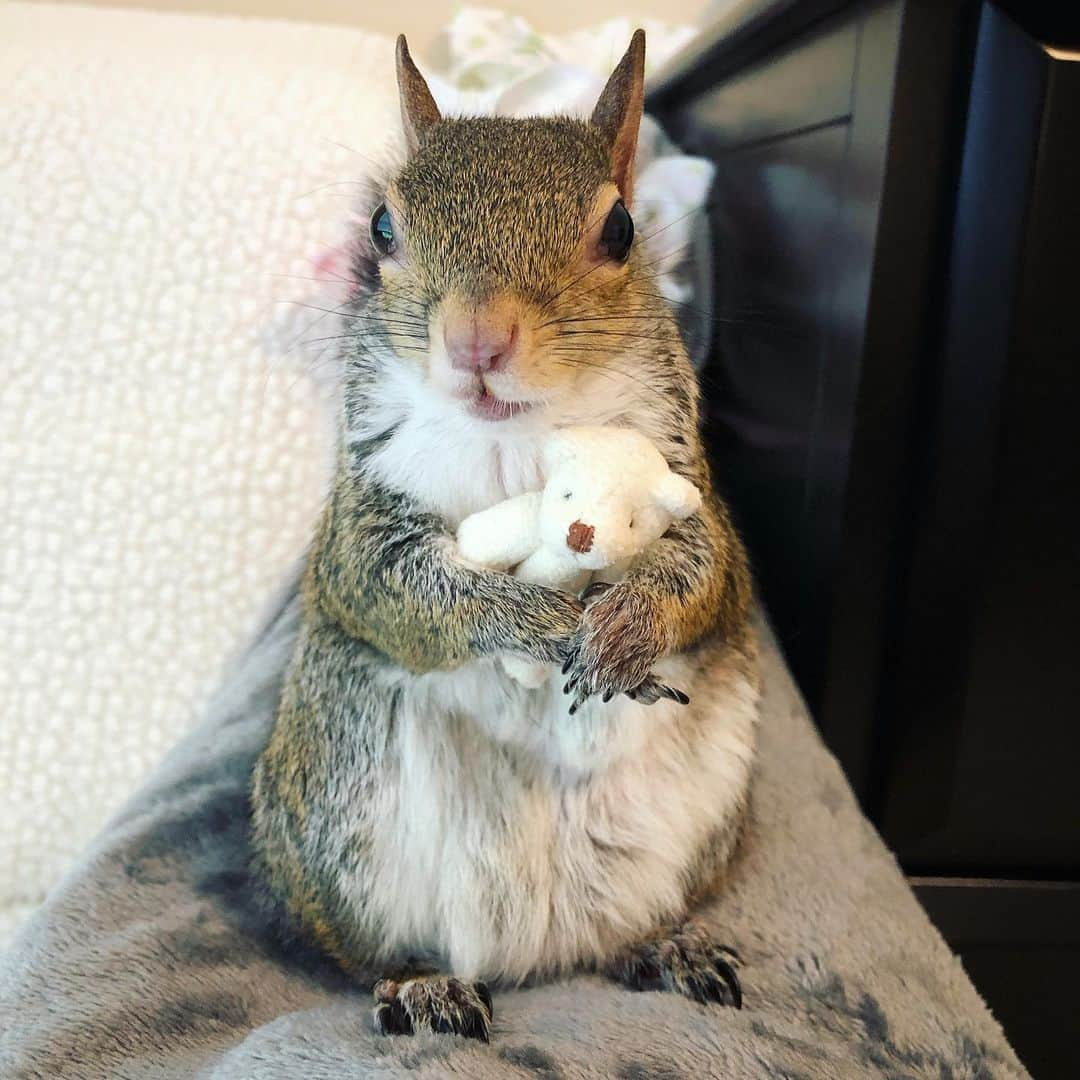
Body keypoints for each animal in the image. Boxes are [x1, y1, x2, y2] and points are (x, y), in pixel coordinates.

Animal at [251, 33, 760, 1041]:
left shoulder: (689, 484)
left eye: (621, 231)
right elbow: (403, 592)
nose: (477, 342)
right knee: (363, 948)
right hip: (335, 805)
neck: (516, 438)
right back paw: (419, 983)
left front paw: (628, 624)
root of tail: (538, 948)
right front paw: (539, 624)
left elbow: (703, 572)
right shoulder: (360, 527)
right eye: (381, 228)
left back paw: (665, 946)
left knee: (632, 927)